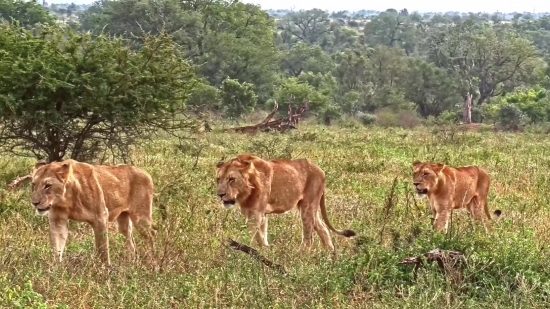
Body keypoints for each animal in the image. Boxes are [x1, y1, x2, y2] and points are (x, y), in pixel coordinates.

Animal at [213, 153, 356, 249]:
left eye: (231, 179)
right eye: (218, 179)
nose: (220, 194)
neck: (245, 192)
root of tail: (321, 170)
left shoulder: (256, 214)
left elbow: (250, 236)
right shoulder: (258, 214)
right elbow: (261, 236)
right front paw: (265, 251)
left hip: (307, 207)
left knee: (308, 239)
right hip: (311, 207)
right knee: (323, 229)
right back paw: (330, 260)